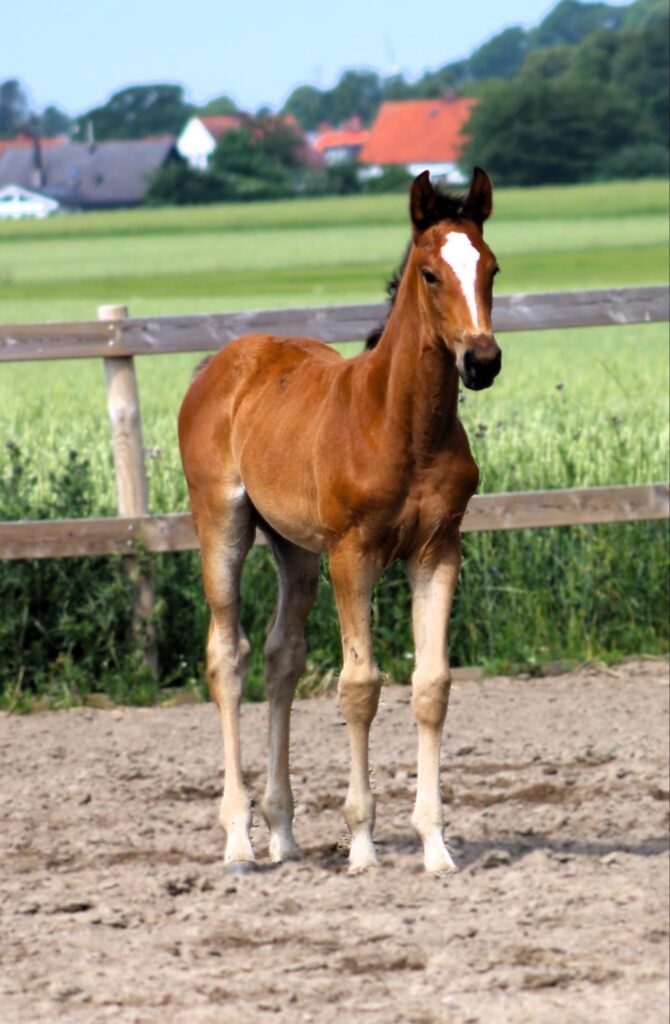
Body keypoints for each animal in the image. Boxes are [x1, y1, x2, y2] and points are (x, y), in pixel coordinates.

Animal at [180, 167, 504, 872]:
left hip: (297, 549)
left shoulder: (438, 550)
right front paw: (361, 844)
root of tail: (221, 363)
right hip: (222, 524)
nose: (482, 361)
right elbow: (361, 685)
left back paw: (283, 832)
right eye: (430, 274)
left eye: (492, 267)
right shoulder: (352, 554)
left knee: (282, 656)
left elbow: (431, 684)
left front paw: (436, 846)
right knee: (227, 656)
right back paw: (239, 838)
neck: (401, 426)